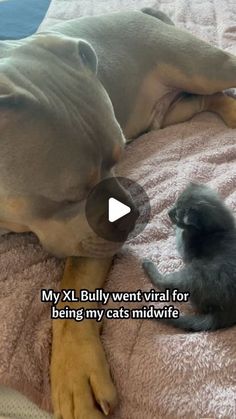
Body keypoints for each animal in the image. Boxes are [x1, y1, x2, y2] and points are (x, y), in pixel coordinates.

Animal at [142, 182, 236, 334]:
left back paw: (147, 263)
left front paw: (175, 229)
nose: (168, 212)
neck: (218, 228)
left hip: (191, 274)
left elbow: (180, 236)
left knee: (164, 282)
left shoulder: (185, 248)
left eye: (176, 214)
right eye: (175, 203)